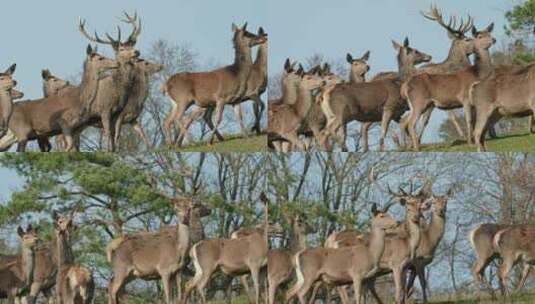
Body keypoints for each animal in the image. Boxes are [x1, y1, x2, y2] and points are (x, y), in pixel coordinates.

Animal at [78, 12, 142, 151]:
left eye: (132, 45)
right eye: (121, 49)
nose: (137, 51)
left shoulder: (117, 114)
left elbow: (115, 135)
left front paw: (114, 151)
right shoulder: (105, 110)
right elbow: (108, 134)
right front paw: (107, 152)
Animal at [402, 22, 498, 150]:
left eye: (489, 33)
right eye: (479, 36)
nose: (494, 39)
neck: (477, 74)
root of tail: (405, 86)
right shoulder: (465, 98)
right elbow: (469, 120)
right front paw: (471, 142)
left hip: (421, 105)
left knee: (405, 121)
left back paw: (412, 146)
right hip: (419, 102)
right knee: (411, 123)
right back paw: (416, 147)